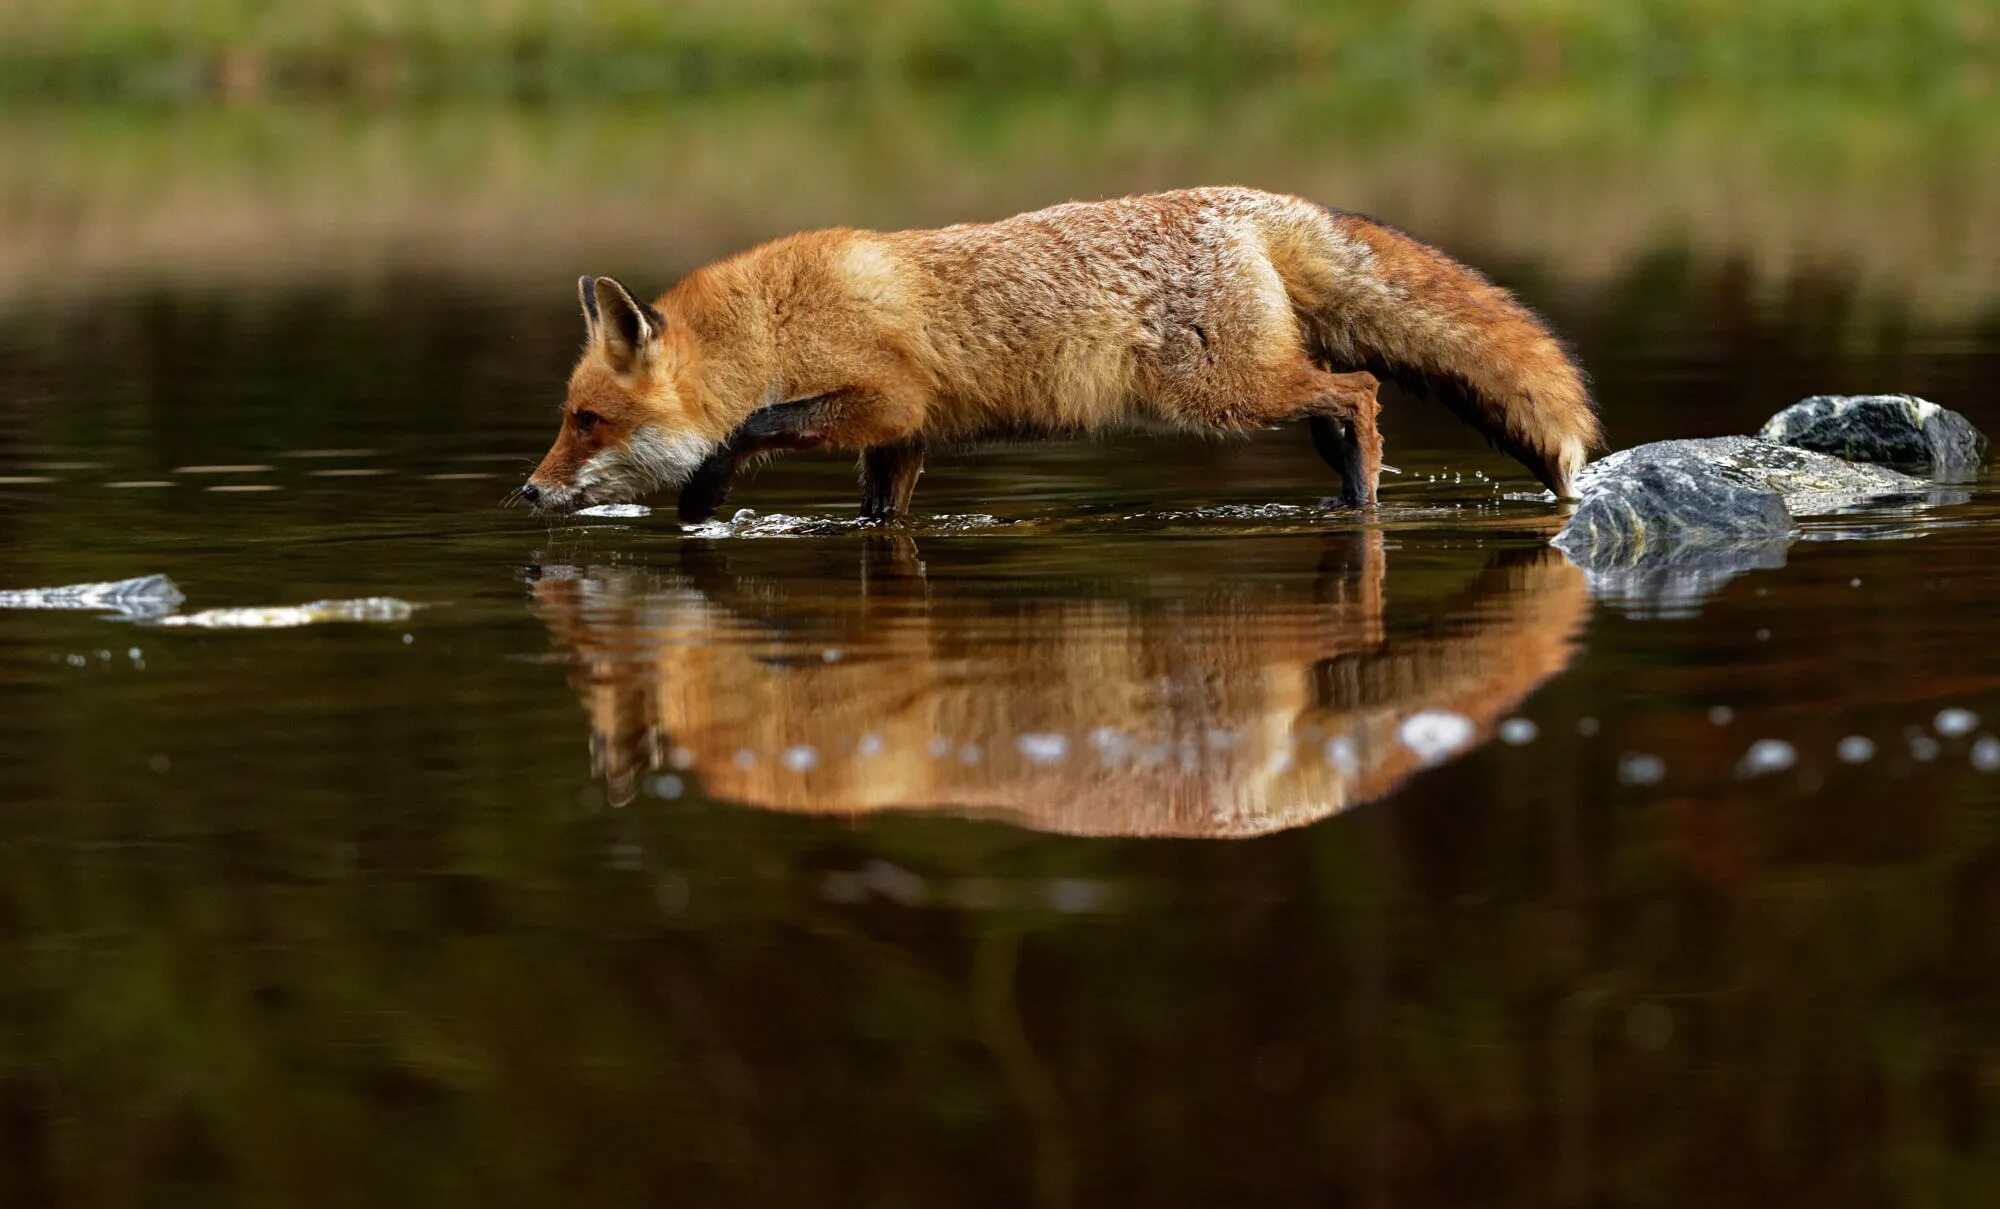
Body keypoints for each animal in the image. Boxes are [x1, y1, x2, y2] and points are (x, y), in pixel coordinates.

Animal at [524, 185, 1600, 520]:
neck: (779, 319)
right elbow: (879, 515)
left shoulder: (881, 403)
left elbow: (752, 424)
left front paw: (703, 497)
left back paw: (1362, 490)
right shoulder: (903, 441)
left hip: (1222, 394)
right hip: (1245, 388)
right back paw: (1345, 480)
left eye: (588, 421)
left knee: (1364, 387)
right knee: (1343, 396)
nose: (527, 495)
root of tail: (1256, 201)